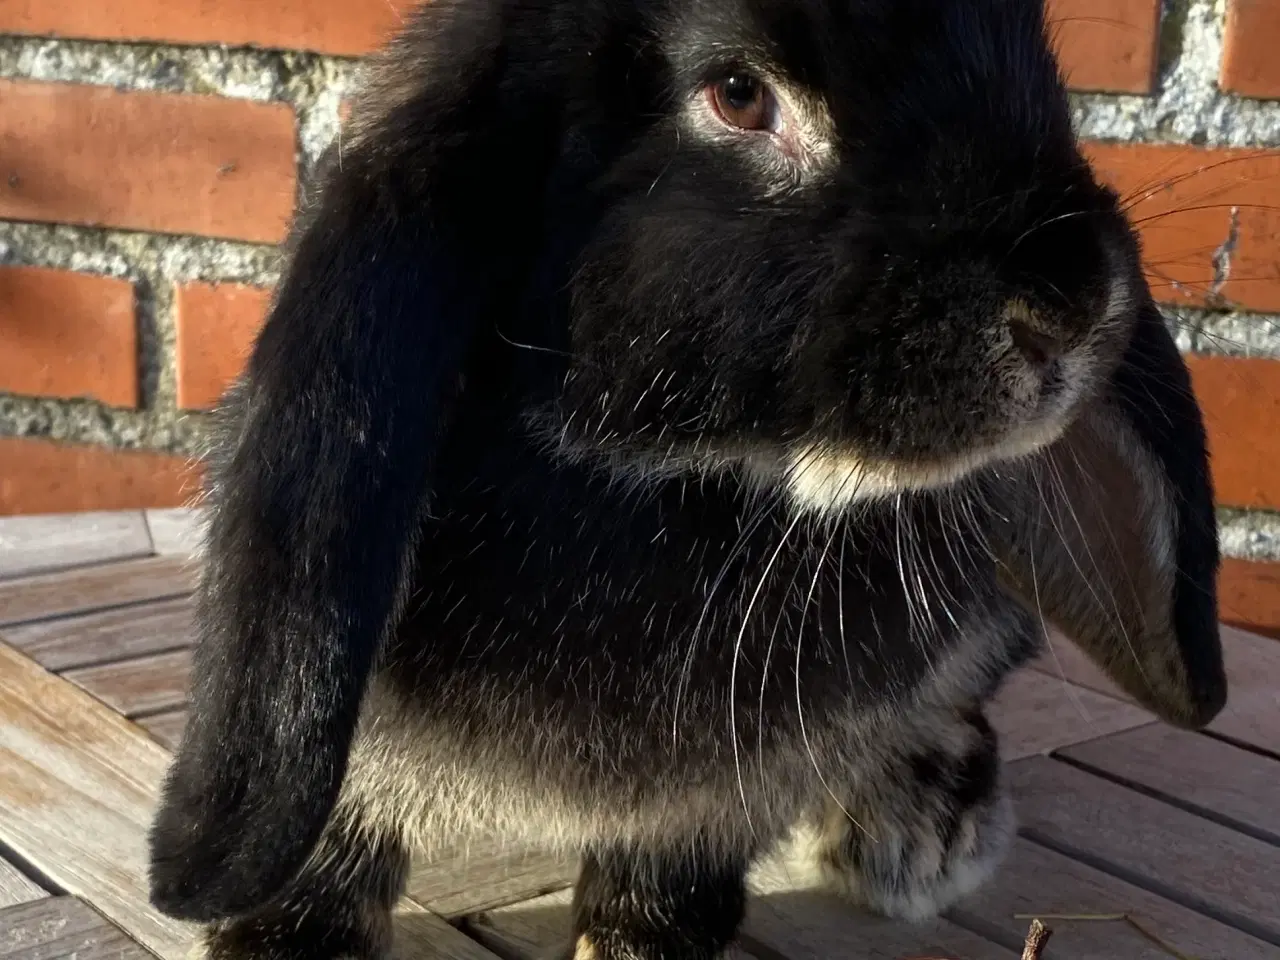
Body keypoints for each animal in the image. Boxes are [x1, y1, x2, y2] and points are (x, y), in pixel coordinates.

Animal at [147, 0, 1228, 957]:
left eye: (1039, 59)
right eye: (739, 95)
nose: (1070, 306)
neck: (678, 493)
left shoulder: (708, 807)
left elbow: (662, 893)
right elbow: (327, 853)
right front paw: (279, 942)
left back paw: (921, 826)